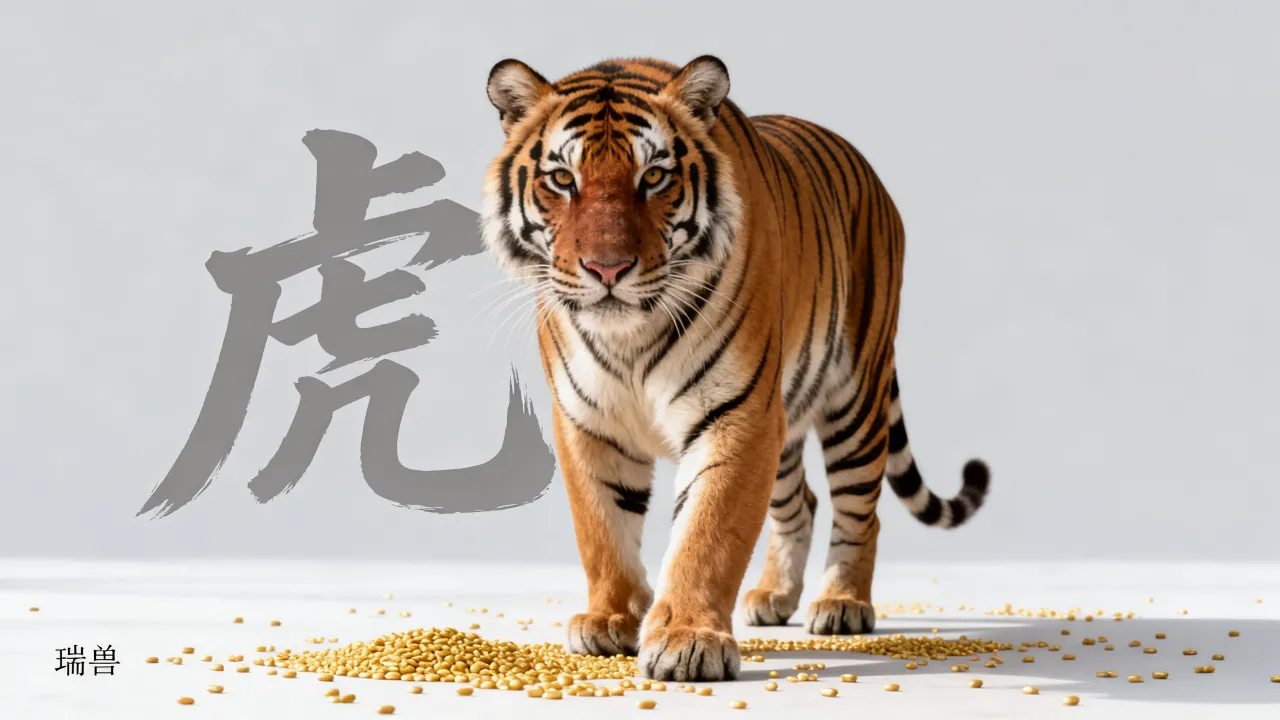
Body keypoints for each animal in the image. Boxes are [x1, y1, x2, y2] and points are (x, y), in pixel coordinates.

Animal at [479, 55, 991, 683]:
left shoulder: (736, 415)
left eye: (654, 177)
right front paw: (610, 619)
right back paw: (774, 597)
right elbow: (601, 527)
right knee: (801, 503)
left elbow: (707, 532)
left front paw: (686, 640)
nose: (608, 268)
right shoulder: (588, 422)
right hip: (787, 416)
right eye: (561, 179)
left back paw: (841, 603)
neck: (630, 340)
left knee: (859, 511)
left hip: (856, 397)